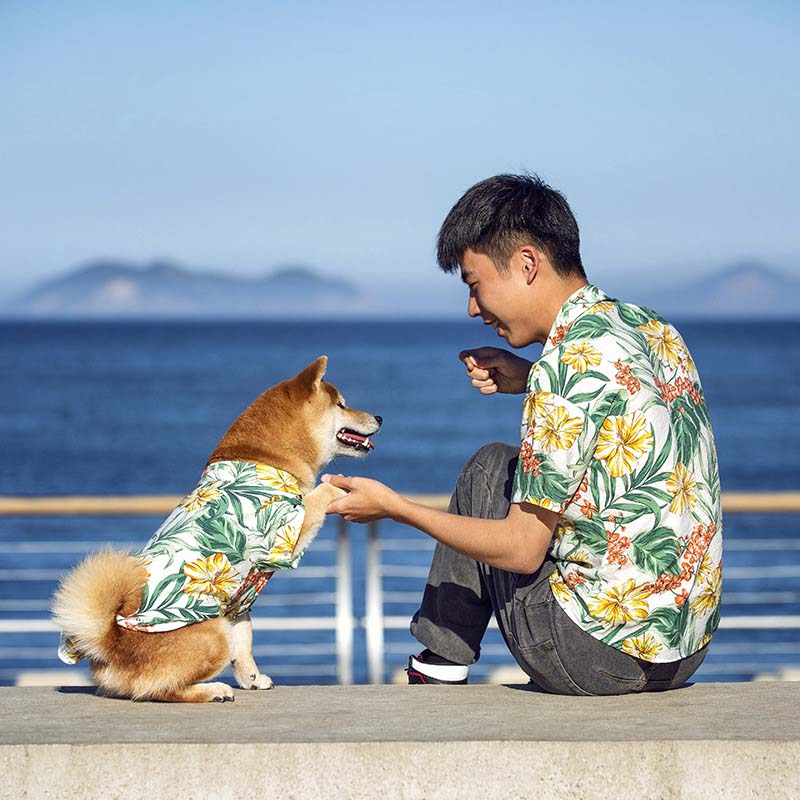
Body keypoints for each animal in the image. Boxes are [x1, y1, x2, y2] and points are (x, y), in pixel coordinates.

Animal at [51, 356, 382, 700]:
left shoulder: (240, 598)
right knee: (162, 690)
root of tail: (111, 644)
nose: (379, 417)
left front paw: (253, 678)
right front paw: (341, 485)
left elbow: (245, 640)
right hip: (211, 635)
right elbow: (320, 493)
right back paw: (212, 690)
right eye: (342, 404)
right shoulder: (288, 532)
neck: (267, 460)